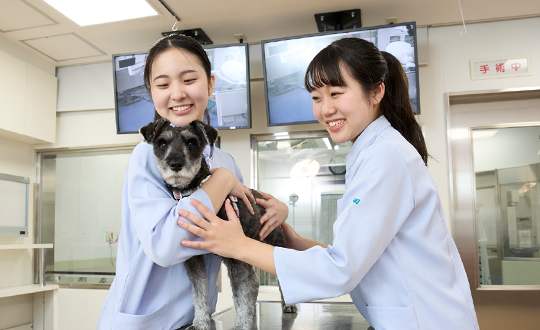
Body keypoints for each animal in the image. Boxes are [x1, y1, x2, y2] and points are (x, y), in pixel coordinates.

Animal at [139, 119, 298, 330]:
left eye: (191, 143)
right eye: (162, 143)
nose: (175, 164)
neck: (194, 189)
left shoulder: (235, 255)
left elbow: (241, 293)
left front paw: (242, 325)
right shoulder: (194, 260)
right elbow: (200, 293)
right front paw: (200, 322)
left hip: (273, 244)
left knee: (278, 278)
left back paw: (287, 305)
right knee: (254, 283)